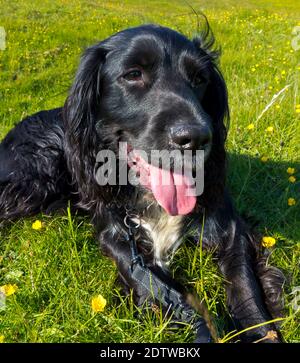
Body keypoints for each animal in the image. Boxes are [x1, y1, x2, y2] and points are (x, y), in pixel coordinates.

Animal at [0, 24, 284, 342]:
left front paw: (260, 331)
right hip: (37, 173)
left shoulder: (231, 232)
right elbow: (166, 292)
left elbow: (246, 290)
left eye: (200, 79)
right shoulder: (116, 237)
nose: (197, 137)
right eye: (133, 74)